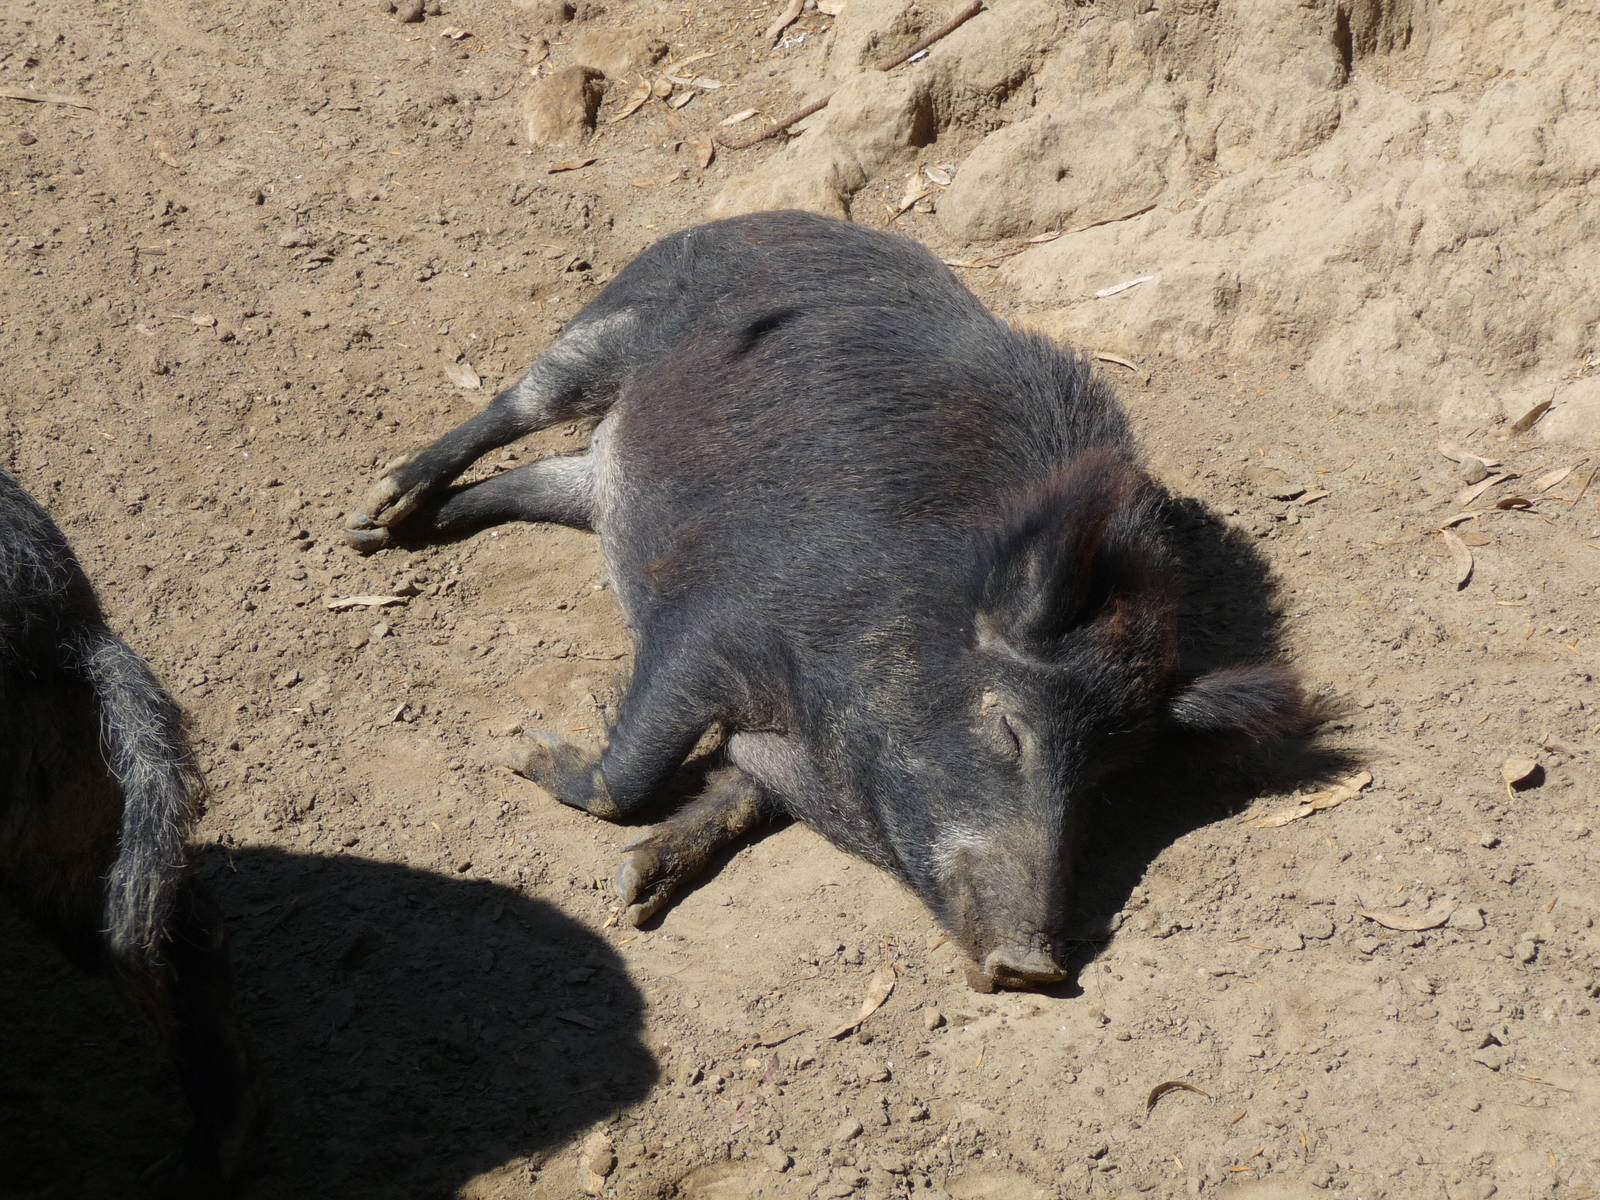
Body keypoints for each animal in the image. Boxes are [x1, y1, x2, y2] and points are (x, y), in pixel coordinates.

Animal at [344, 210, 1314, 990]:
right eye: (1009, 728)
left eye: (1105, 785)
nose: (1035, 968)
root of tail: (771, 216)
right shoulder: (713, 627)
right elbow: (631, 776)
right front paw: (523, 755)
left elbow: (731, 794)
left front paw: (633, 891)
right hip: (610, 328)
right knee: (516, 406)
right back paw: (373, 514)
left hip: (603, 480)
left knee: (543, 478)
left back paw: (406, 530)